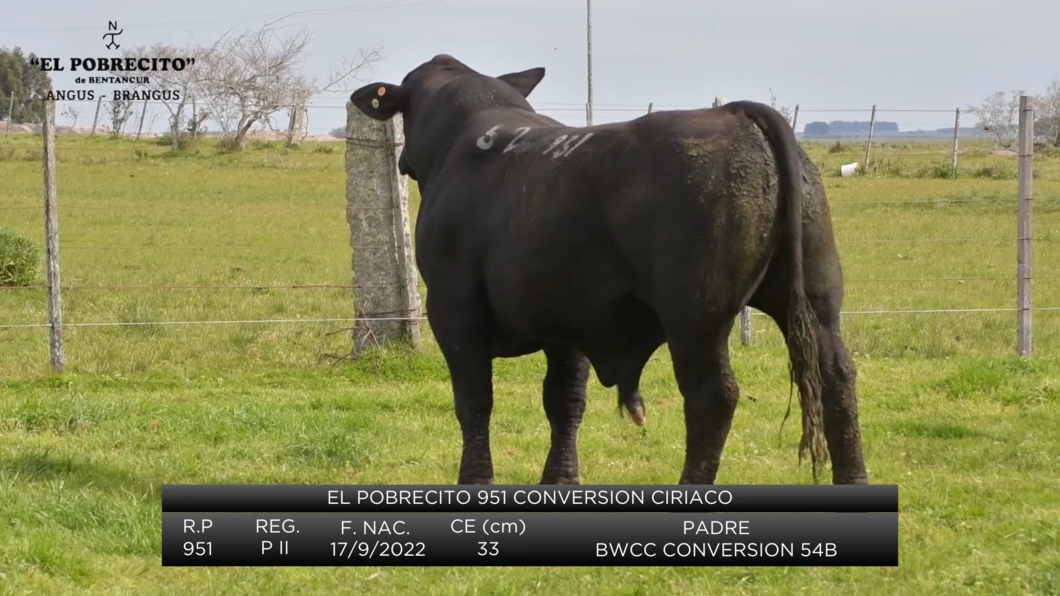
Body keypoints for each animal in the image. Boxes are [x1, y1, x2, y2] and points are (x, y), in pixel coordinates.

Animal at [351, 54, 864, 483]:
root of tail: (735, 114)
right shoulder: (569, 317)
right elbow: (565, 401)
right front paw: (560, 479)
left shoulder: (453, 307)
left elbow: (474, 399)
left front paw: (476, 480)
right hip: (817, 299)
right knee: (837, 378)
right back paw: (853, 478)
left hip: (695, 315)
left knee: (713, 396)